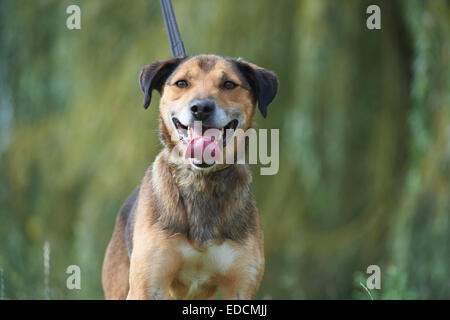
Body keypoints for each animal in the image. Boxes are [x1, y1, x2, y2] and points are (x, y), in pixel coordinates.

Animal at [102, 53, 278, 298]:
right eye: (182, 83)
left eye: (229, 84)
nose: (201, 108)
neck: (201, 180)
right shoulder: (147, 285)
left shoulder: (240, 286)